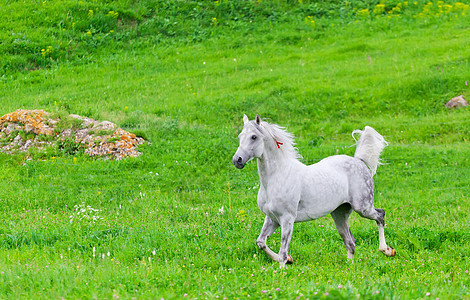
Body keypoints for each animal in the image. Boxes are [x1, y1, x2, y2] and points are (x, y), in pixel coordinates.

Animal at [233, 114, 394, 268]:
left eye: (254, 137)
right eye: (240, 136)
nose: (237, 160)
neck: (276, 178)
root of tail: (359, 160)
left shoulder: (287, 219)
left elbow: (283, 252)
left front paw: (283, 268)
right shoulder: (272, 218)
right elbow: (261, 242)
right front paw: (289, 260)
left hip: (363, 207)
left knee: (380, 215)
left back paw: (387, 250)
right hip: (339, 214)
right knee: (350, 242)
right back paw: (349, 267)